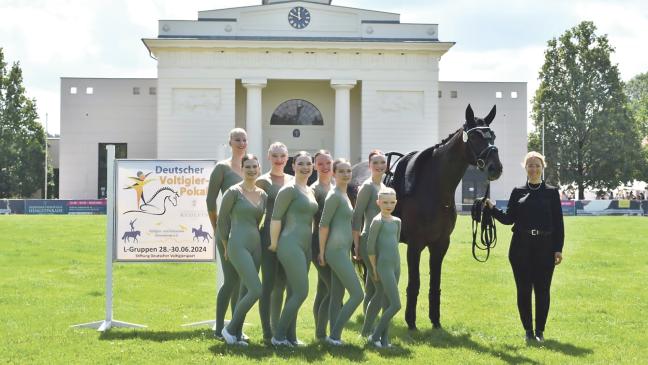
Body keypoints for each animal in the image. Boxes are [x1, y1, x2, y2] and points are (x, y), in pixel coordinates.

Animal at [352, 104, 504, 328]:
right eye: (475, 136)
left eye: (492, 135)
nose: (496, 167)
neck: (433, 189)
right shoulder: (415, 245)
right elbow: (414, 283)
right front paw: (411, 321)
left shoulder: (440, 244)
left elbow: (435, 283)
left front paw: (435, 321)